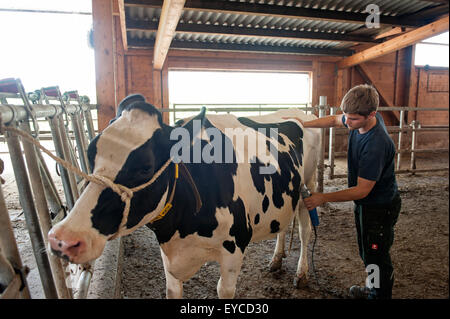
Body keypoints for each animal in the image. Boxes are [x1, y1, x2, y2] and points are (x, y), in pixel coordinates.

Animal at [47, 100, 322, 300]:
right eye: (90, 154)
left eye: (145, 167)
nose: (64, 239)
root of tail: (296, 113)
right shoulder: (169, 256)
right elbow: (173, 290)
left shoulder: (234, 248)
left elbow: (224, 290)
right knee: (283, 224)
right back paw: (276, 260)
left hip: (308, 186)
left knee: (305, 229)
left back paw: (302, 274)